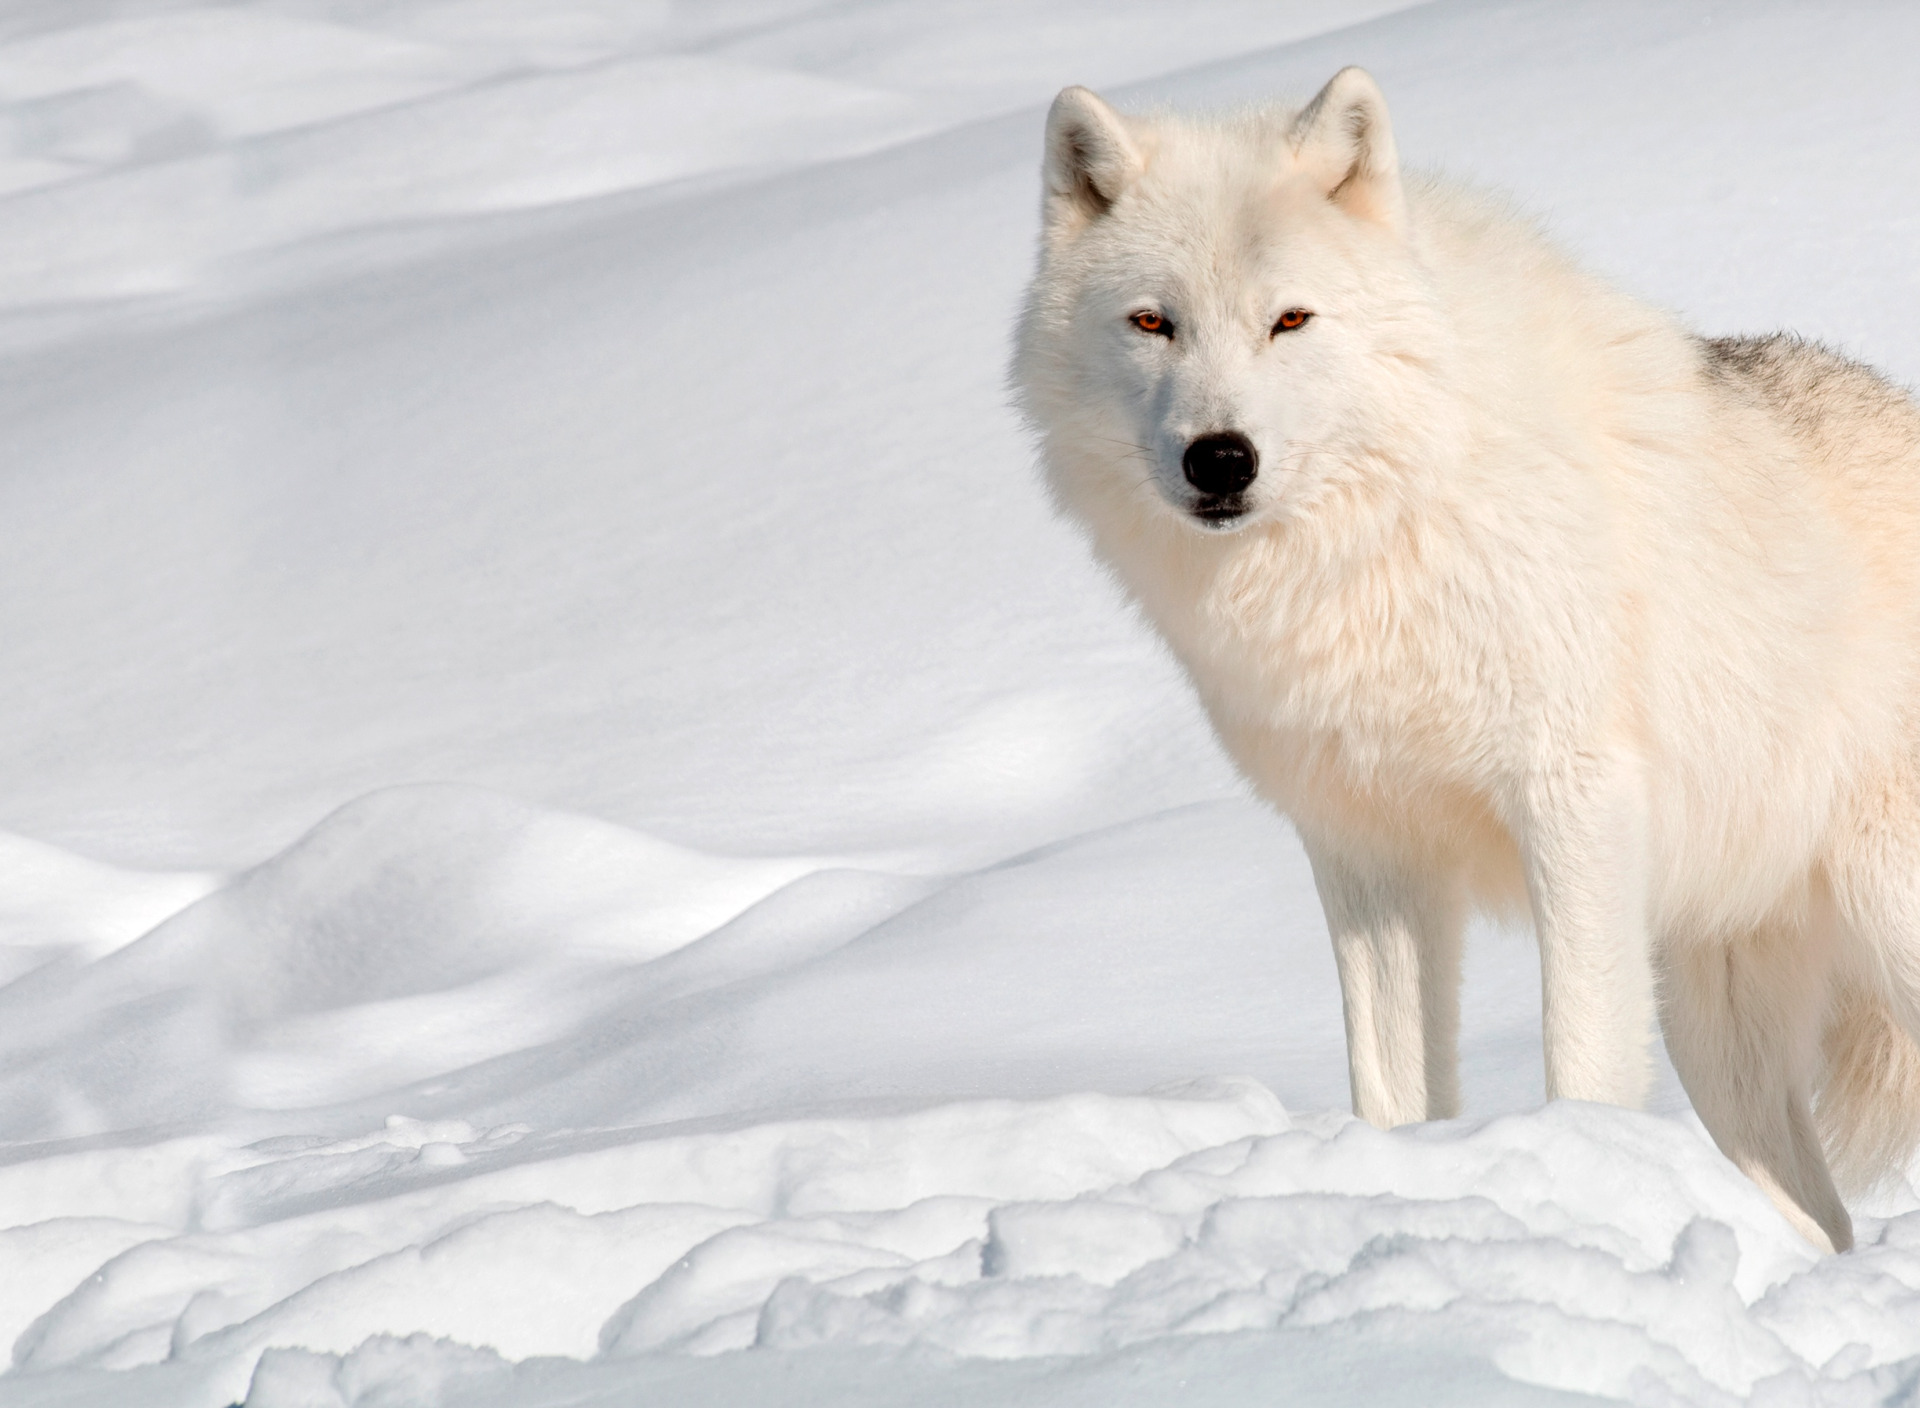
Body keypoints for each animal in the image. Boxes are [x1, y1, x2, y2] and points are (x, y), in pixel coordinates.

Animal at [1021, 68, 1920, 1252]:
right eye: (1152, 323)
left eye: (1290, 319)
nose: (1220, 459)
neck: (1378, 540)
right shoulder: (1368, 852)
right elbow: (1393, 1089)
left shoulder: (1573, 803)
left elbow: (1580, 1057)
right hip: (1718, 1026)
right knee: (1817, 1225)